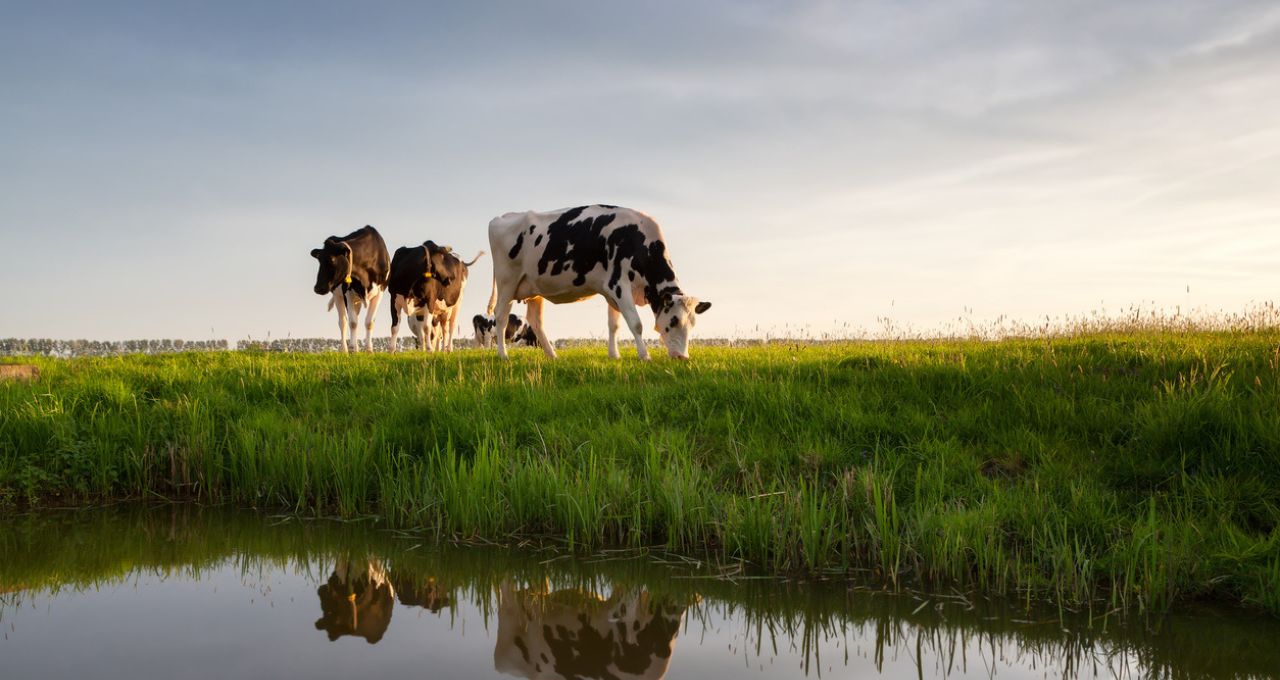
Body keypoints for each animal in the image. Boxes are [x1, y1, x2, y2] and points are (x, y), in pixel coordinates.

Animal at [311, 227, 389, 356]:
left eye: (332, 259)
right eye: (319, 260)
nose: (318, 288)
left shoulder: (380, 292)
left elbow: (369, 322)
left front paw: (369, 350)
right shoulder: (347, 293)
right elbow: (352, 322)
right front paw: (352, 349)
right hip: (338, 295)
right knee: (343, 322)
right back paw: (345, 349)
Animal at [486, 204, 716, 361]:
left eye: (693, 323)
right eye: (673, 321)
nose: (682, 357)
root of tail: (500, 217)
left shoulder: (611, 290)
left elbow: (614, 324)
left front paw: (615, 355)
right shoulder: (619, 284)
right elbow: (636, 323)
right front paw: (645, 356)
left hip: (534, 288)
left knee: (536, 321)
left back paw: (552, 355)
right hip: (507, 282)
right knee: (501, 316)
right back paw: (503, 356)